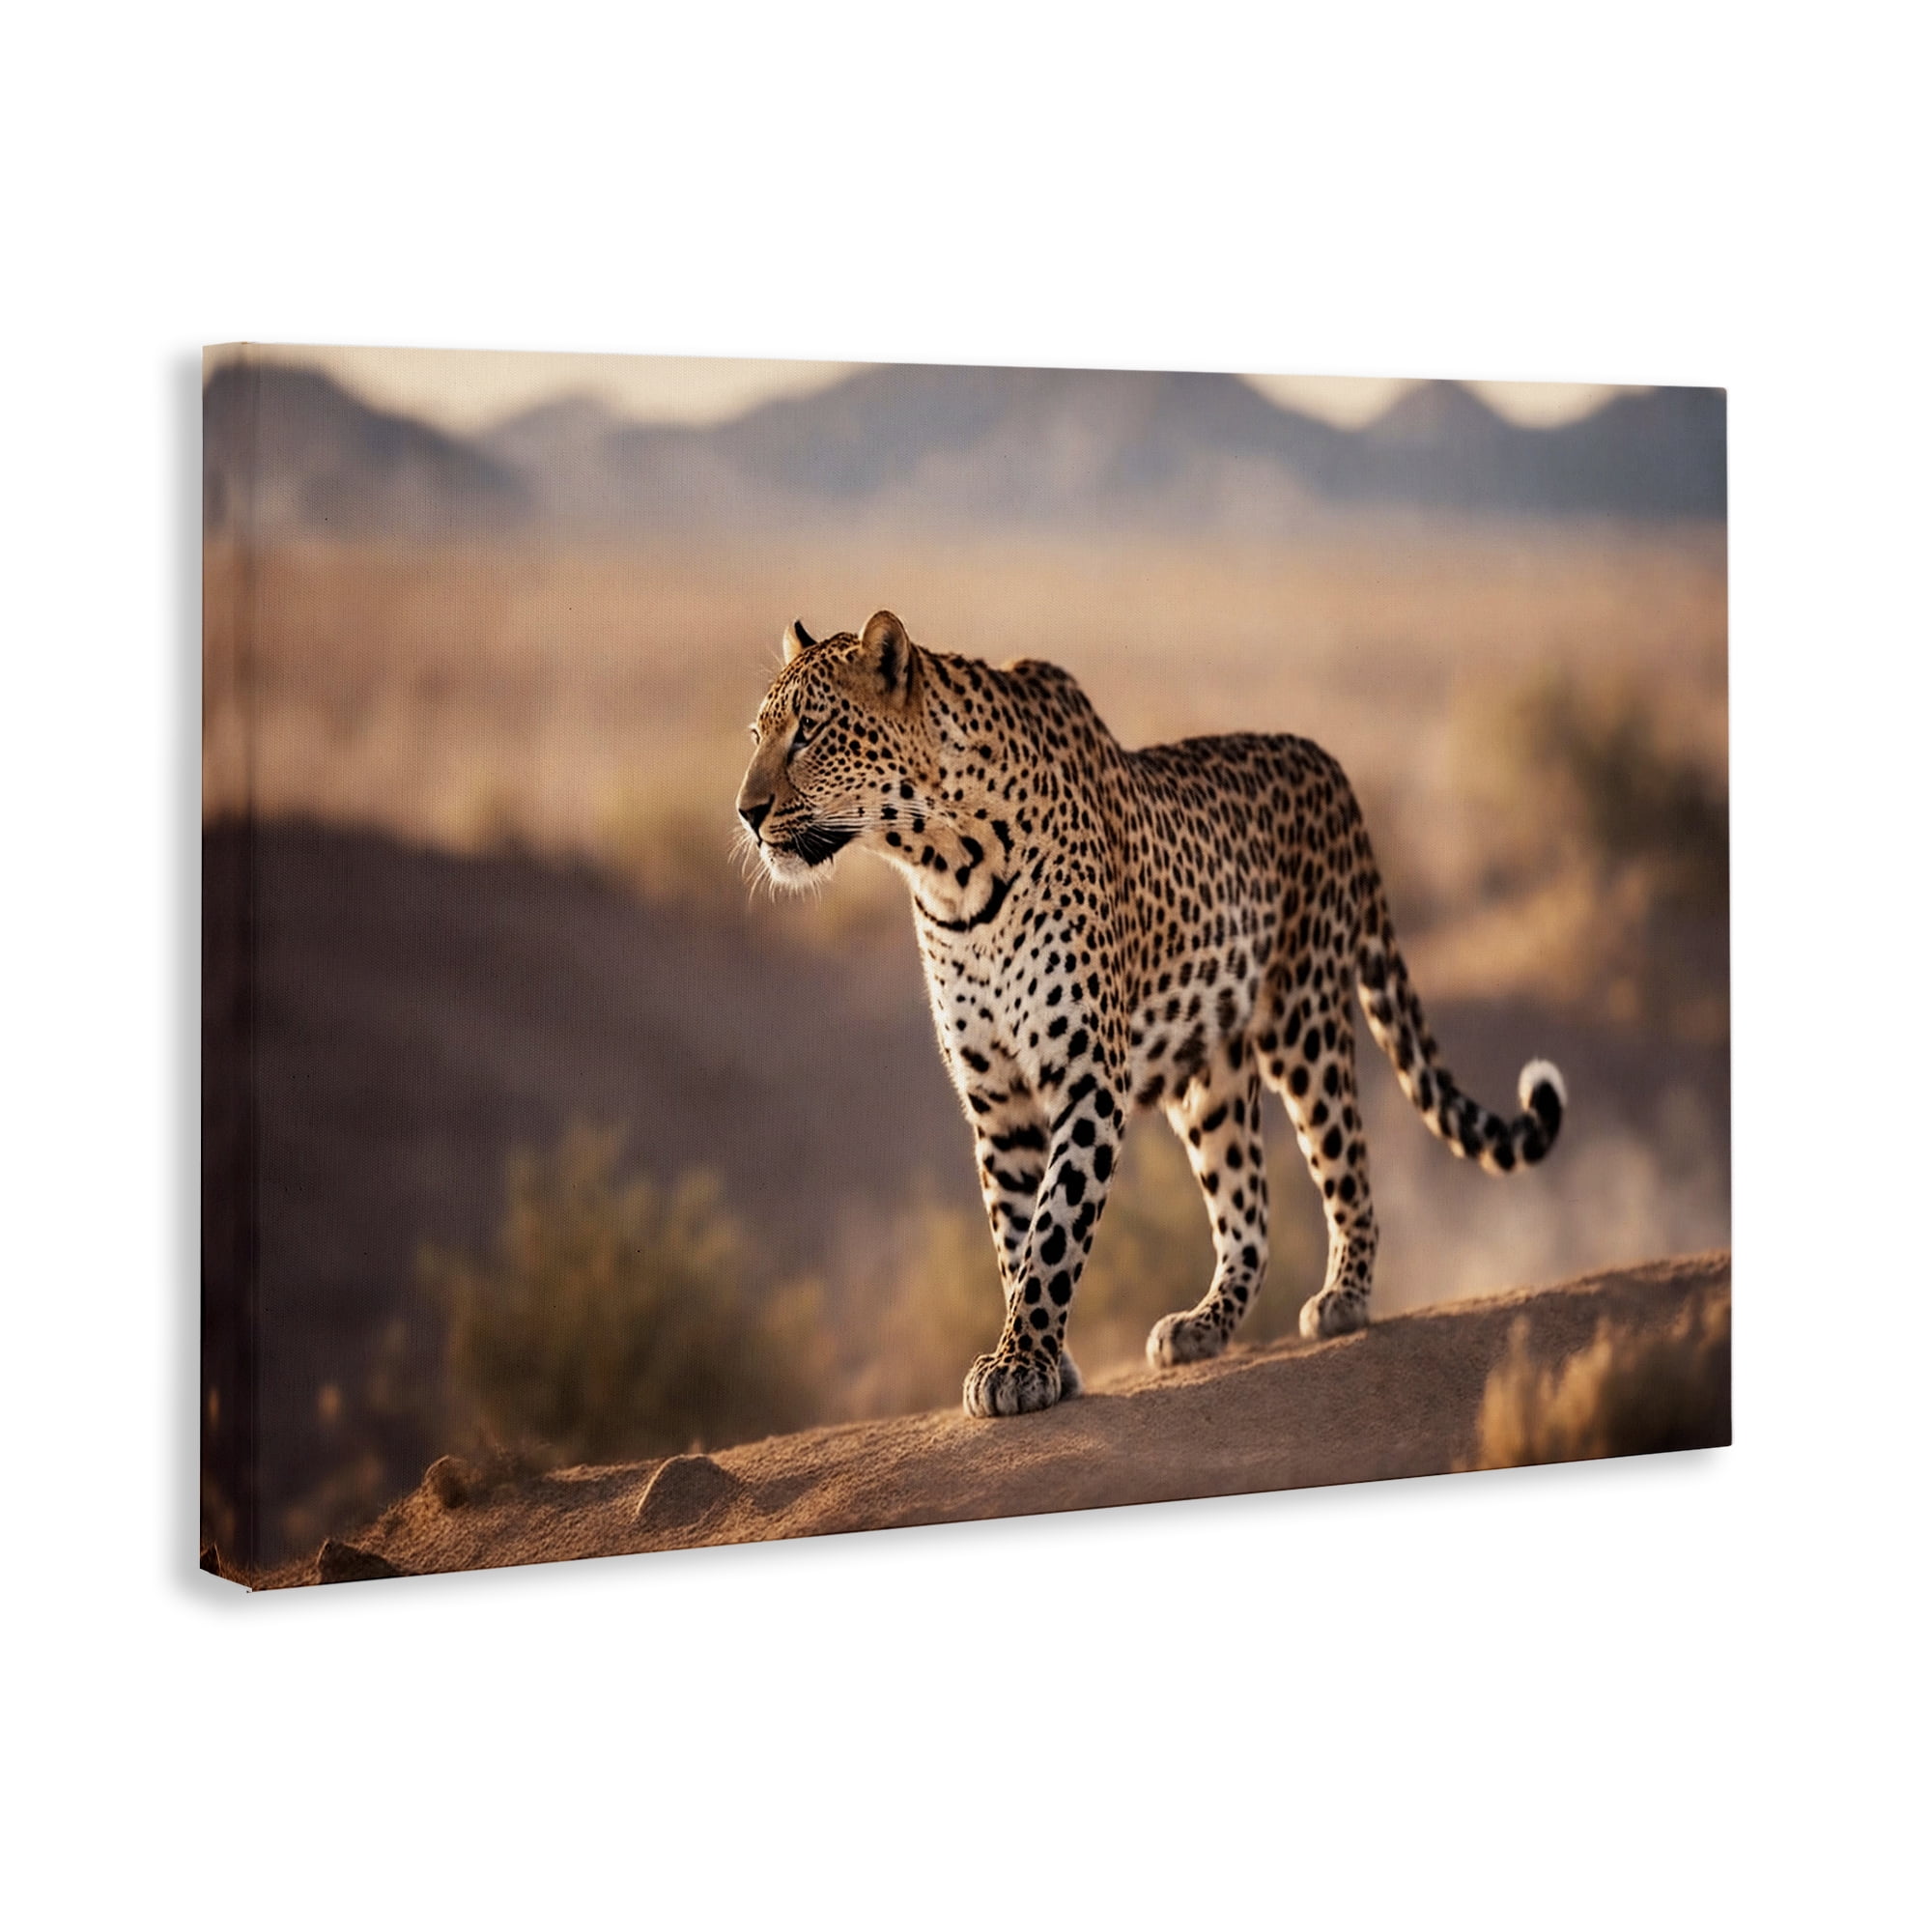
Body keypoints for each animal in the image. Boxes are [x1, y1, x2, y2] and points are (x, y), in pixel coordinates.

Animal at [735, 610, 1566, 1418]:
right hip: (1213, 1081)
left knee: (1347, 1164)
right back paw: (1204, 1324)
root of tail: (1330, 767)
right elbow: (1014, 1230)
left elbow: (1055, 1229)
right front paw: (1044, 1362)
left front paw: (1021, 1365)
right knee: (1249, 1213)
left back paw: (1345, 1298)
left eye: (809, 732)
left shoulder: (1087, 1077)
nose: (746, 813)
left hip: (1305, 1023)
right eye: (756, 735)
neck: (945, 865)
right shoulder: (998, 1096)